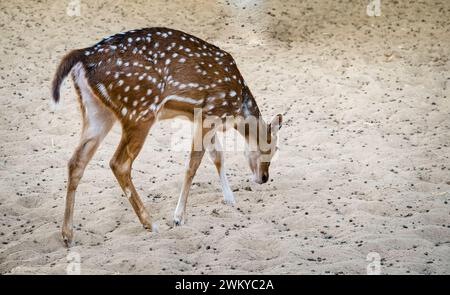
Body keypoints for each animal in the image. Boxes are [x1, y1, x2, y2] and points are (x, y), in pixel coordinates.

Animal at [52, 27, 282, 246]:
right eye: (271, 149)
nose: (264, 178)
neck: (237, 109)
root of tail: (83, 55)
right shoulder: (209, 113)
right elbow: (193, 164)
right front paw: (179, 217)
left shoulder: (200, 118)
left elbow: (217, 156)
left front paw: (230, 200)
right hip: (139, 111)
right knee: (119, 163)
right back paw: (151, 224)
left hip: (96, 111)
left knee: (76, 161)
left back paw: (68, 235)